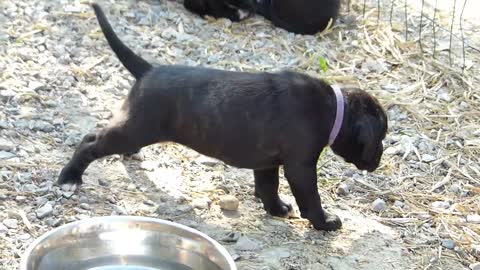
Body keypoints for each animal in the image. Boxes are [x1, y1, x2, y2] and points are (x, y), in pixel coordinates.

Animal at [59, 3, 390, 231]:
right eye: (380, 138)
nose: (380, 157)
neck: (334, 108)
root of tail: (148, 70)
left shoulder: (268, 162)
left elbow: (268, 187)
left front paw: (276, 209)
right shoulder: (301, 167)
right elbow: (311, 200)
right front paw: (325, 222)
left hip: (136, 126)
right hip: (136, 129)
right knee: (91, 141)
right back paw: (70, 177)